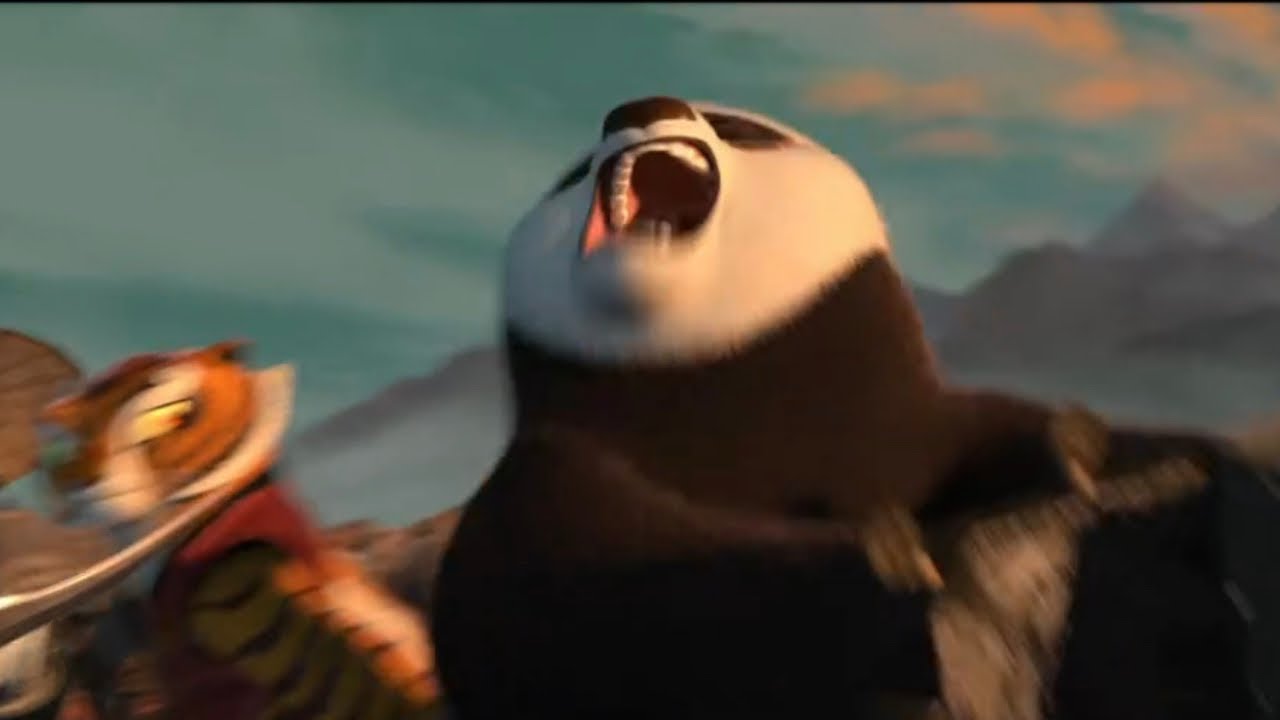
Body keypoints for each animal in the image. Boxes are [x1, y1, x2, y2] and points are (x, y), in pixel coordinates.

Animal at [430, 97, 1256, 720]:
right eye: (571, 175)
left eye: (740, 129)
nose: (637, 109)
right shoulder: (558, 473)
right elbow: (613, 592)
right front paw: (906, 565)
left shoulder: (915, 425)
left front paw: (1078, 459)